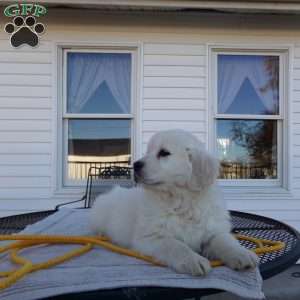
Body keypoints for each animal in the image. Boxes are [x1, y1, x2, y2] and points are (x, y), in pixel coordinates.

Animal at [89, 130, 258, 276]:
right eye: (148, 152)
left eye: (164, 153)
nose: (135, 165)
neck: (181, 201)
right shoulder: (151, 237)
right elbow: (175, 245)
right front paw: (193, 260)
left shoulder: (213, 230)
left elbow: (224, 241)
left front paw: (242, 254)